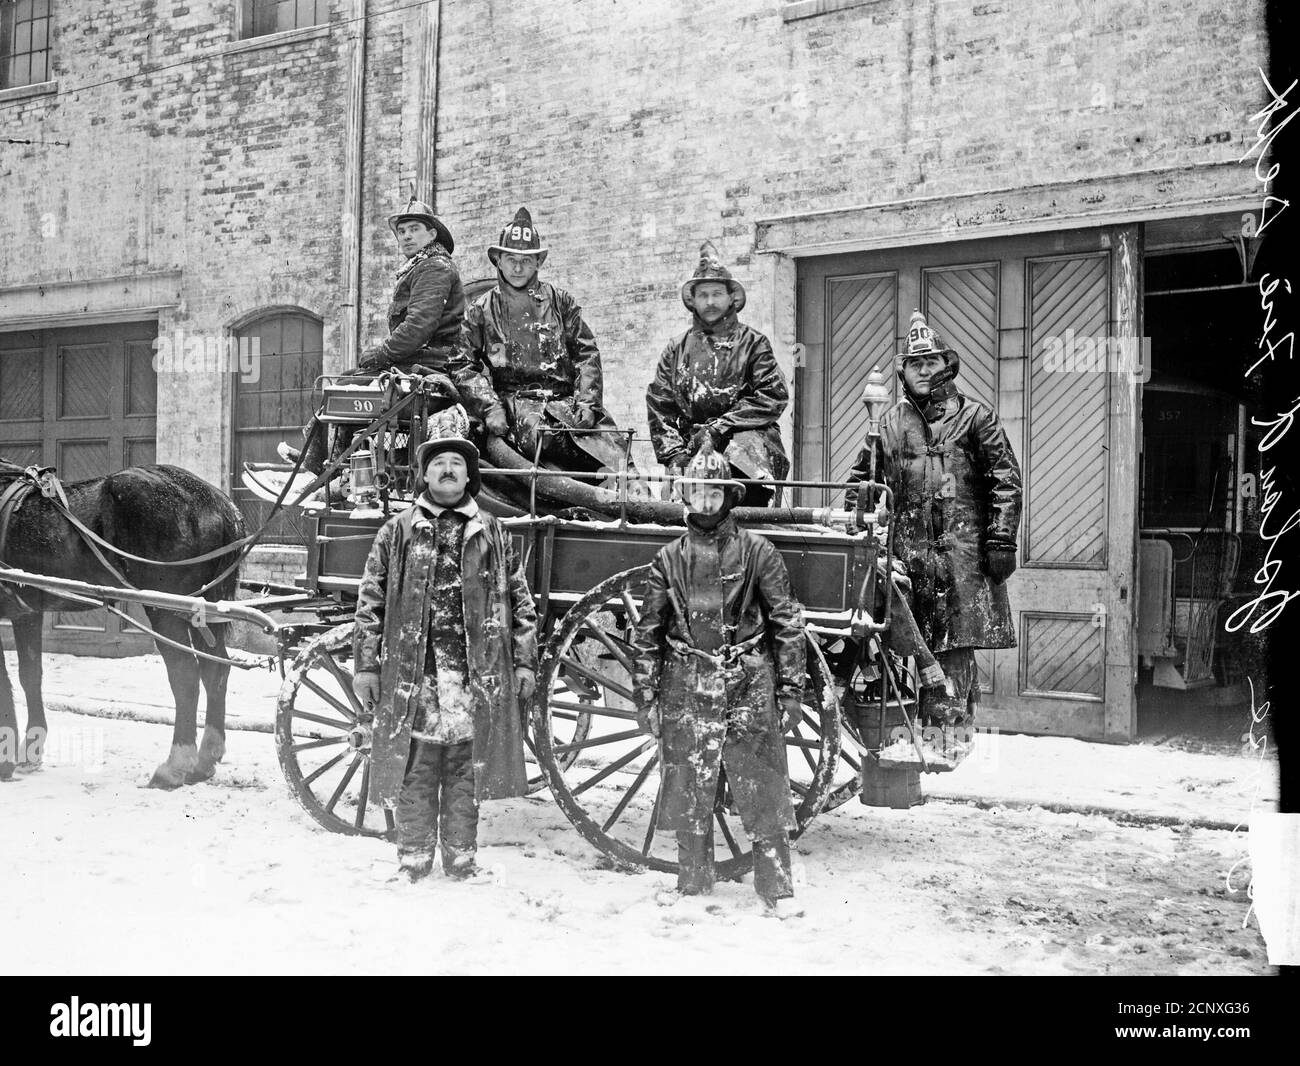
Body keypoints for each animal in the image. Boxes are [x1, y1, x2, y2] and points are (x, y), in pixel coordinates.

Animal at [0, 462, 245, 785]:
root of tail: (221, 504)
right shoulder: (26, 612)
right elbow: (30, 676)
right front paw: (29, 753)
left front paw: (6, 762)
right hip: (204, 610)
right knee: (215, 670)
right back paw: (205, 760)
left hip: (165, 609)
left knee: (185, 674)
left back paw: (175, 766)